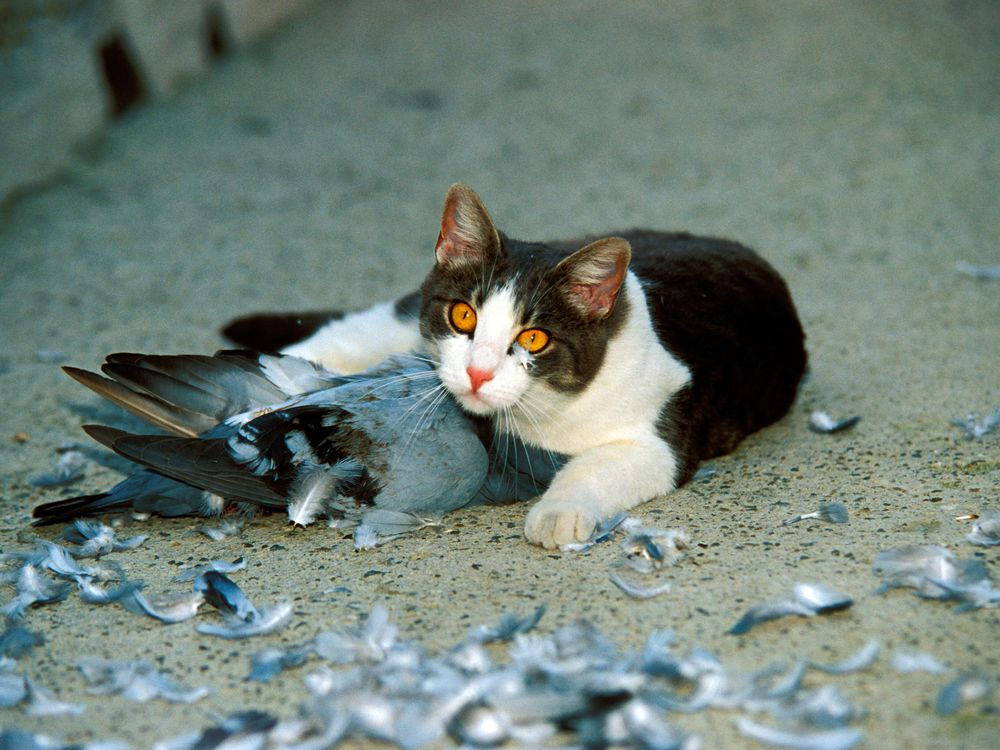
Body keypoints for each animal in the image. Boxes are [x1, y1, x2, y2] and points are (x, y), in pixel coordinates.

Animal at [225, 187, 804, 552]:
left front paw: (557, 513)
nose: (478, 372)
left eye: (533, 338)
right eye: (463, 315)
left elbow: (601, 464)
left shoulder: (665, 431)